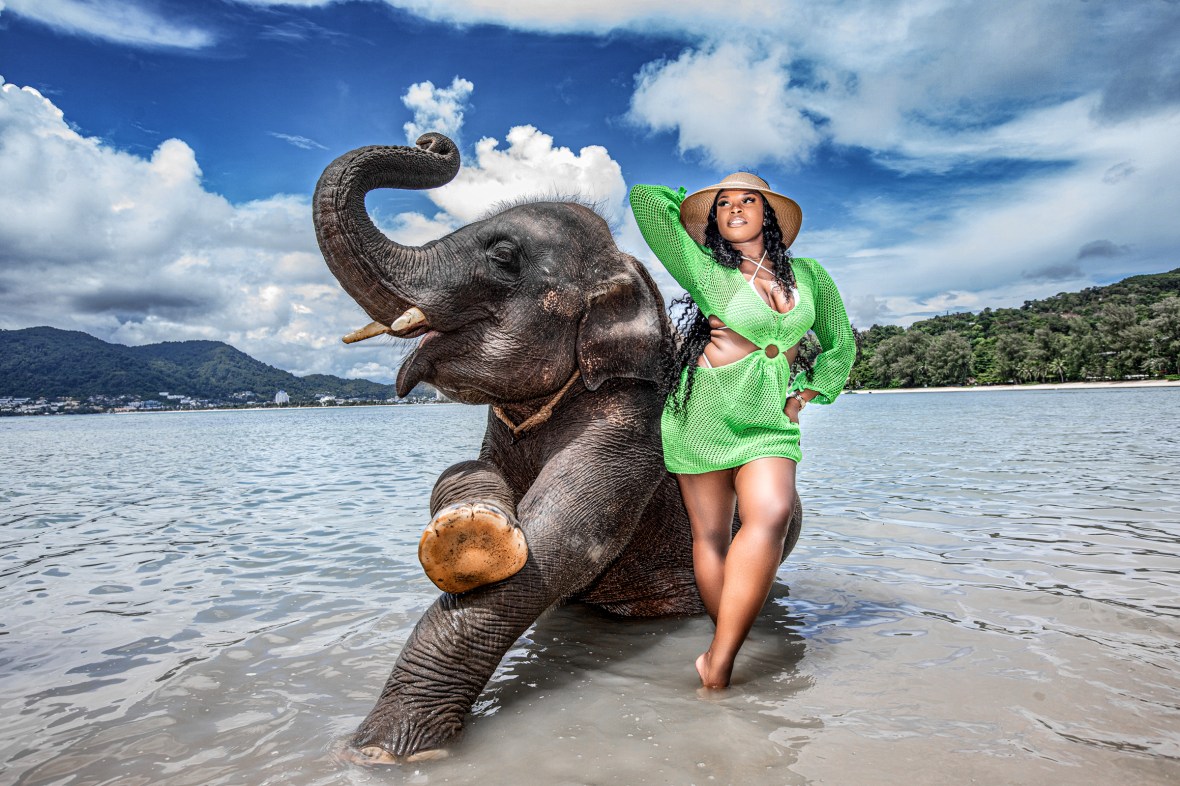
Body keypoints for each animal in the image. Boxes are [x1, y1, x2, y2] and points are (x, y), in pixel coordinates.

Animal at [311, 132, 803, 762]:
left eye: (502, 256)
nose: (434, 142)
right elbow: (474, 477)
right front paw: (471, 528)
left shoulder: (632, 424)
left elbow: (559, 545)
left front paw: (383, 751)